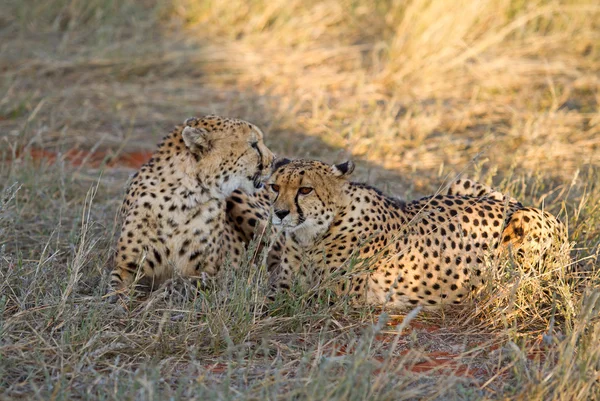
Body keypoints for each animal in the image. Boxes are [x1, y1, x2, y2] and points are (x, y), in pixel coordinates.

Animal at [110, 114, 274, 296]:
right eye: (254, 144)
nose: (274, 160)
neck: (182, 197)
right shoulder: (125, 267)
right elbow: (114, 289)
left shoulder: (208, 274)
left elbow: (180, 285)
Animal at [258, 158, 568, 308]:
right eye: (275, 187)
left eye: (305, 189)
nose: (280, 213)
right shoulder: (286, 280)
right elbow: (266, 293)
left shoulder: (331, 296)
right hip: (460, 184)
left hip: (523, 223)